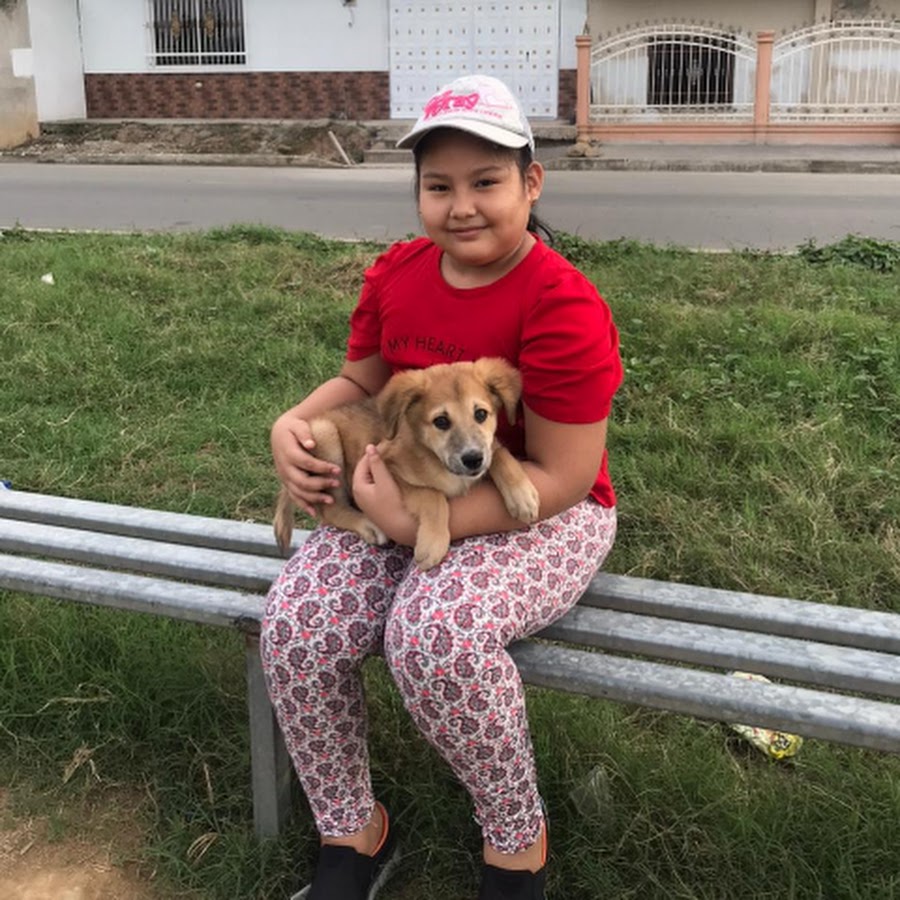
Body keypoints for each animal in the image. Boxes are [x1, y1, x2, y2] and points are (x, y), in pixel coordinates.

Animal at [273, 357, 540, 570]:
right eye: (441, 421)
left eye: (481, 414)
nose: (473, 459)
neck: (437, 459)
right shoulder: (387, 467)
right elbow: (433, 496)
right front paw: (432, 544)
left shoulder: (485, 451)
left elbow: (499, 453)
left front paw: (522, 495)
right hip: (325, 435)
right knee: (329, 510)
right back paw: (367, 524)